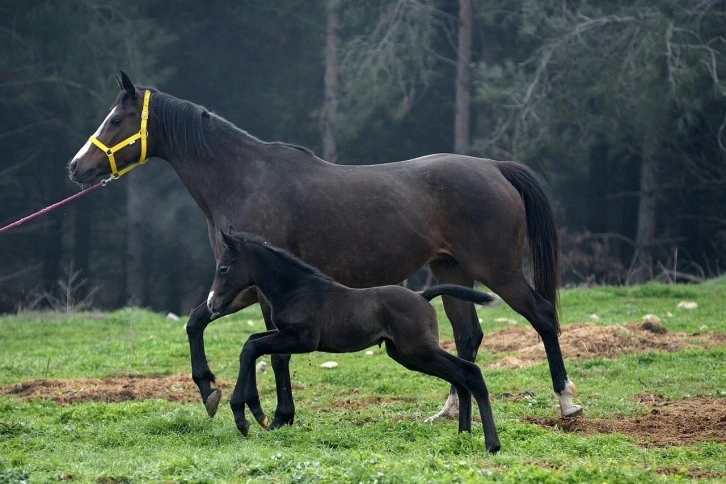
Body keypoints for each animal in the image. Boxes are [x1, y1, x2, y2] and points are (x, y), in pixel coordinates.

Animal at [208, 230, 504, 454]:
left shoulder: (303, 339)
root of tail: (423, 295)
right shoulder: (285, 334)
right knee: (460, 378)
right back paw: (463, 435)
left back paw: (491, 445)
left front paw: (244, 416)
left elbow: (251, 347)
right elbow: (251, 342)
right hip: (406, 354)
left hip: (418, 350)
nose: (212, 304)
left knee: (470, 372)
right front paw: (257, 413)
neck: (296, 289)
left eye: (223, 268)